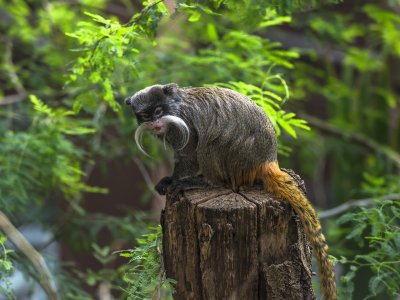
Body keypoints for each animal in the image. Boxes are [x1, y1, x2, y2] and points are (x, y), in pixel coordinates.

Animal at [126, 82, 338, 300]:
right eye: (145, 115)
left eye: (159, 111)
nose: (155, 123)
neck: (176, 107)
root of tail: (267, 160)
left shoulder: (184, 125)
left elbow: (190, 153)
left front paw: (175, 181)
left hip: (237, 158)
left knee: (211, 140)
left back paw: (206, 182)